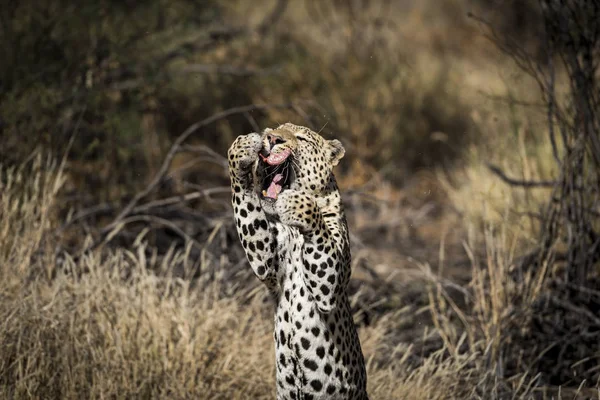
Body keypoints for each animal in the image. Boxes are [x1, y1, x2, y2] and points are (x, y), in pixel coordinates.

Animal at [229, 122, 368, 400]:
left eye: (302, 138)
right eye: (275, 129)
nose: (272, 138)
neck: (294, 231)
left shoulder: (328, 289)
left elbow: (318, 227)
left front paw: (297, 202)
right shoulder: (266, 259)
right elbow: (247, 203)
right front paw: (241, 149)